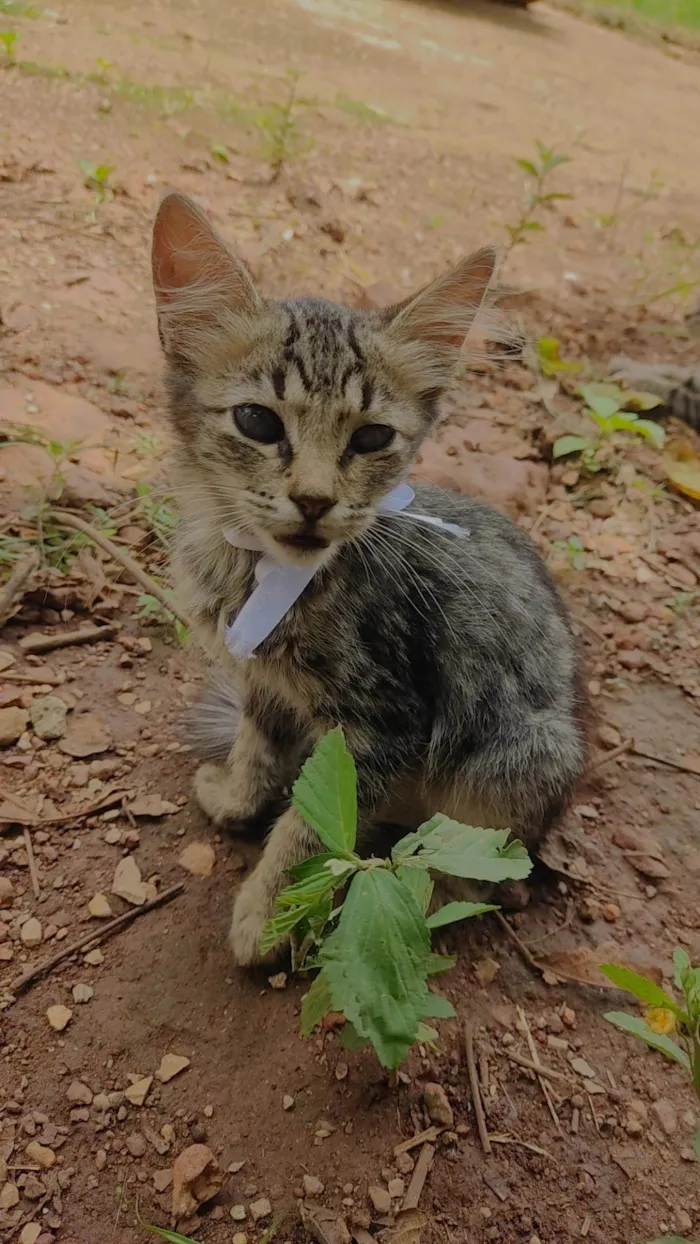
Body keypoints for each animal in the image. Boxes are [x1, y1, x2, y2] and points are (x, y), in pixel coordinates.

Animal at [152, 191, 586, 960]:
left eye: (372, 438)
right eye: (257, 421)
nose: (315, 500)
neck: (260, 570)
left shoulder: (381, 725)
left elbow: (311, 834)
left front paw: (267, 918)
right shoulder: (266, 685)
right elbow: (259, 753)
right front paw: (236, 797)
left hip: (512, 761)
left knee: (481, 868)